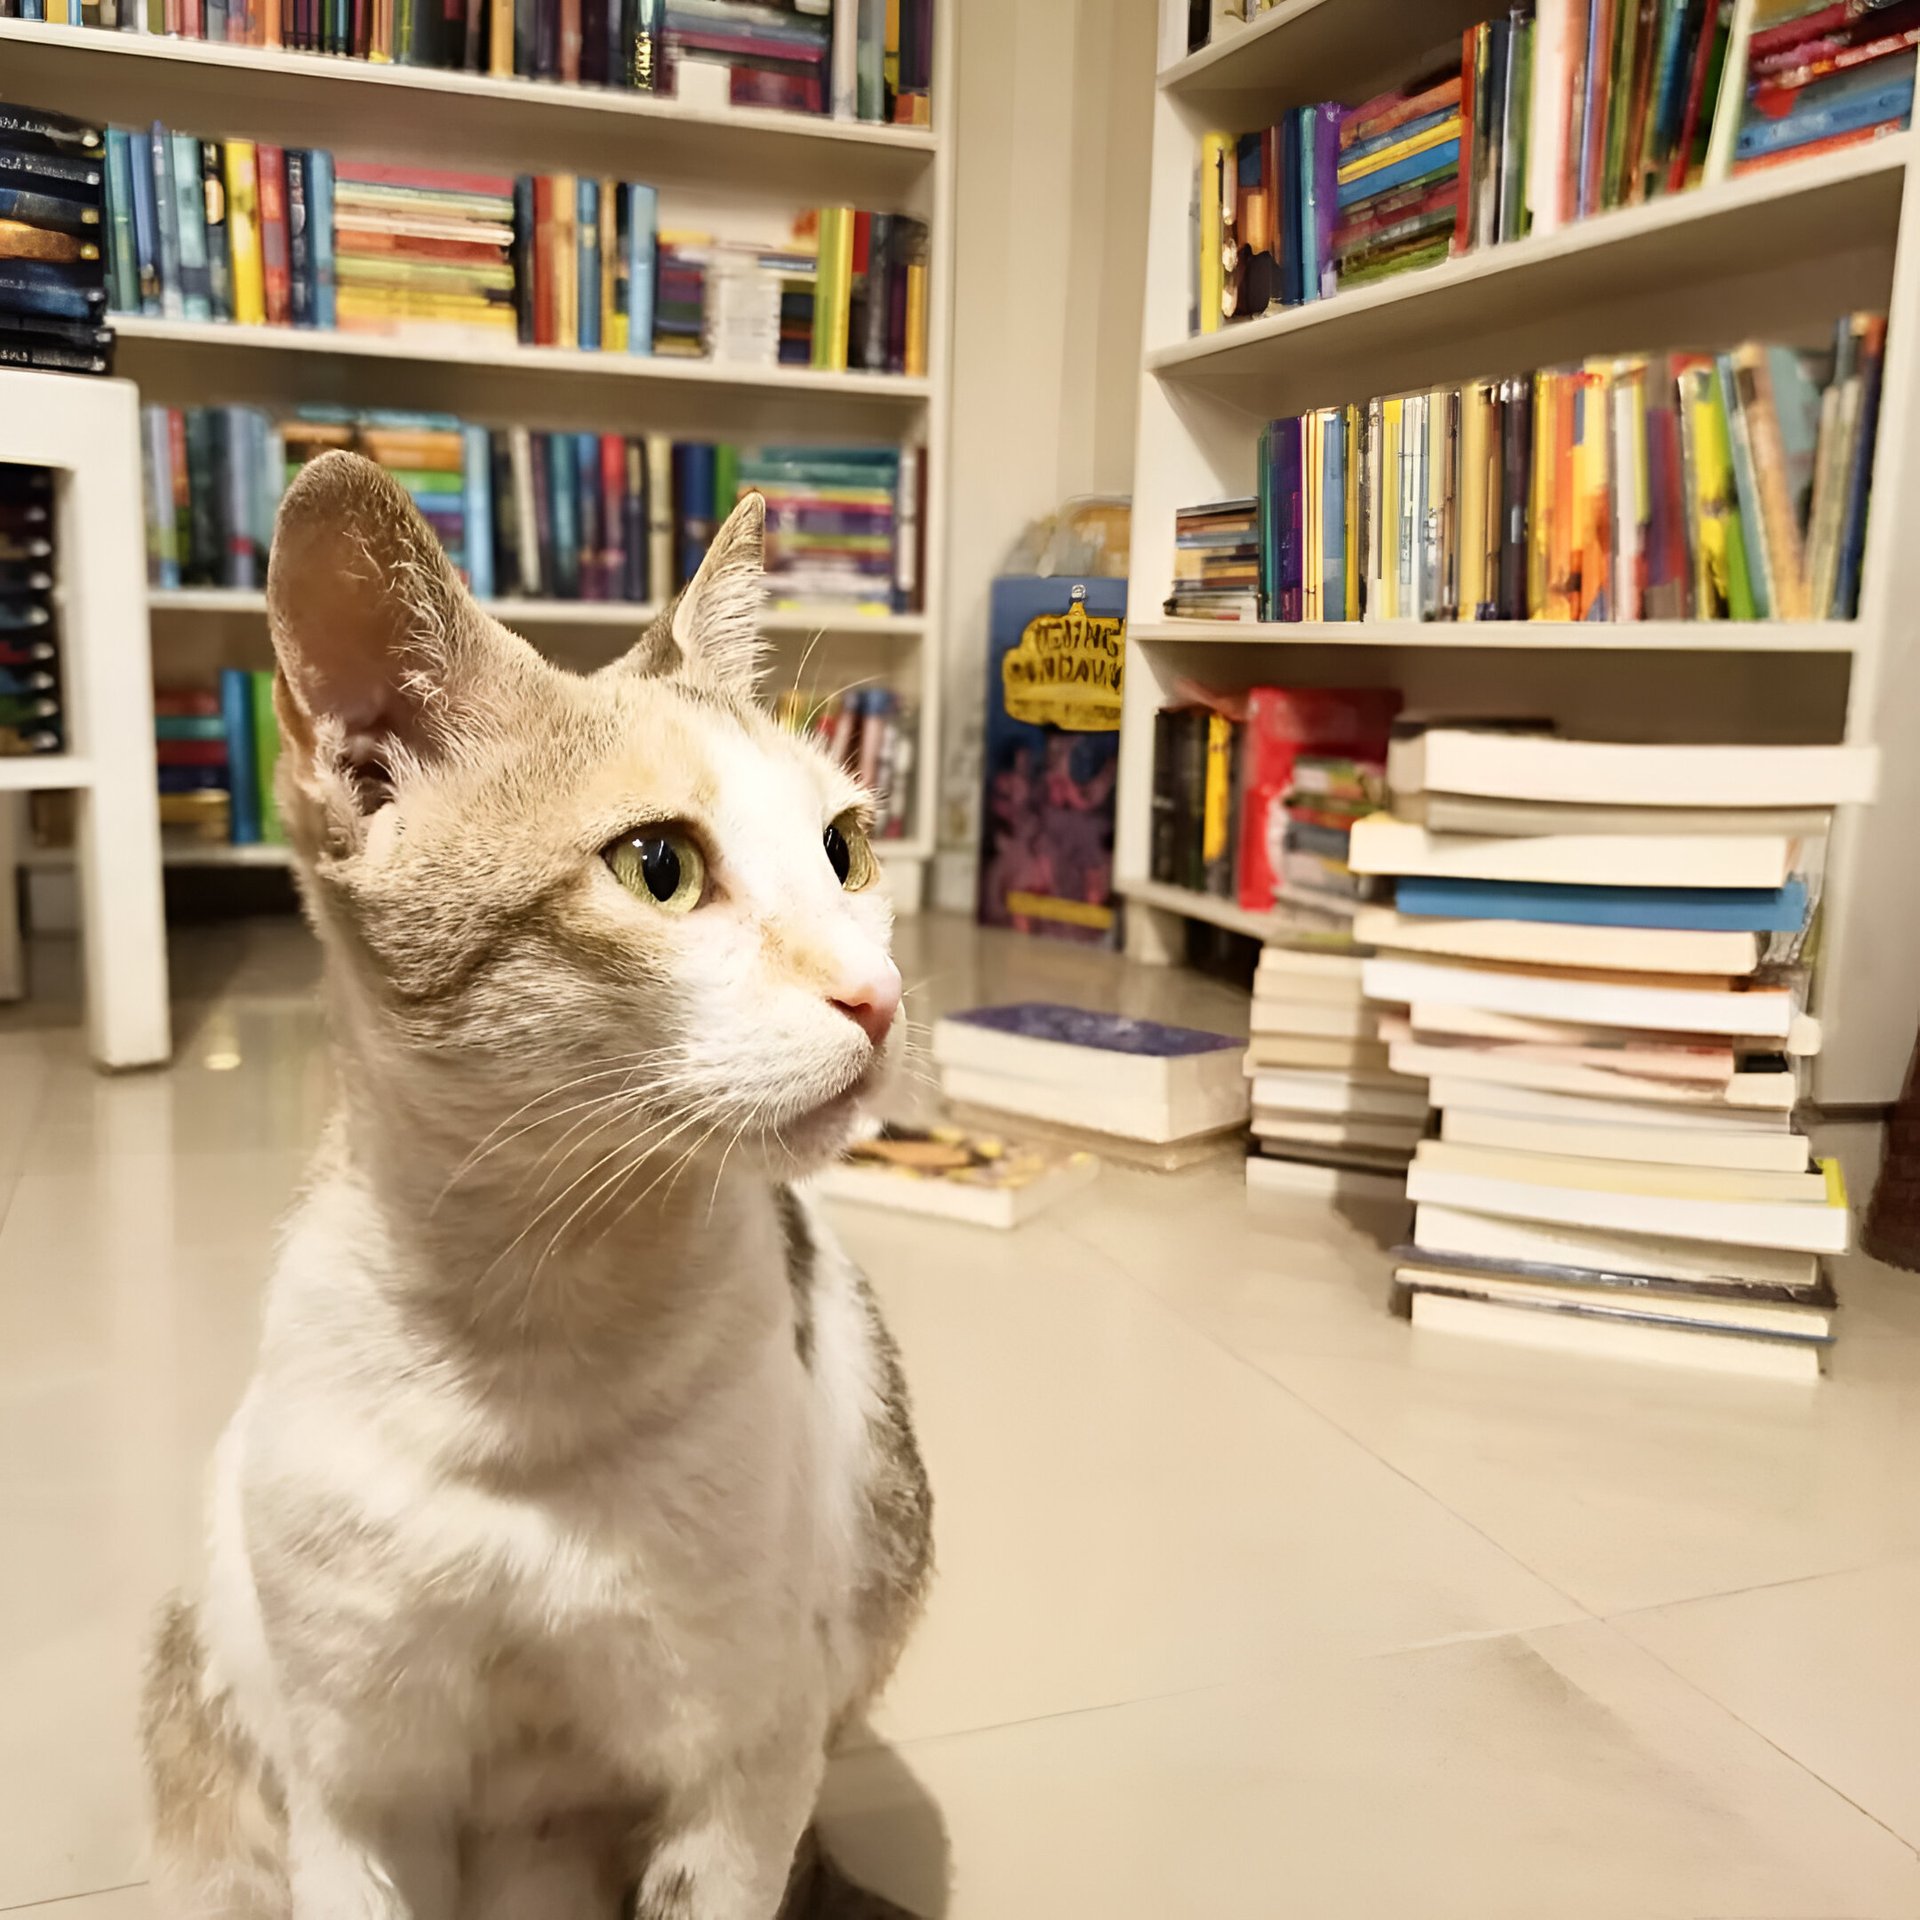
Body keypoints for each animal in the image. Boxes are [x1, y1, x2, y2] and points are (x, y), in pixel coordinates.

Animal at [139, 453, 933, 1920]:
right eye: (659, 867)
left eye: (848, 850)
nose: (882, 995)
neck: (534, 1320)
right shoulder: (355, 1783)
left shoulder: (743, 1768)